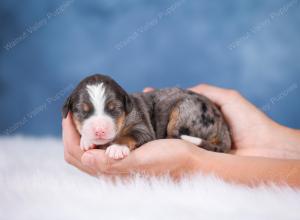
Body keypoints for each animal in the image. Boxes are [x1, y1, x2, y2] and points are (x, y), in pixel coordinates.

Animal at [61, 75, 232, 159]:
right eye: (82, 111)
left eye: (114, 109)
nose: (99, 131)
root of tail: (222, 123)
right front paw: (86, 140)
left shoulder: (142, 127)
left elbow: (131, 134)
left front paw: (117, 147)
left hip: (184, 111)